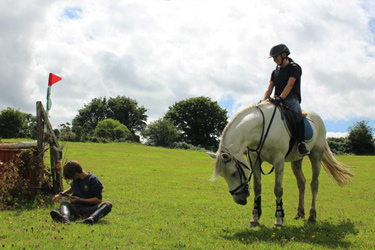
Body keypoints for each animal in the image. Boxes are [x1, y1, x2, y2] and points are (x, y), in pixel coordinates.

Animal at [209, 100, 352, 228]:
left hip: (316, 156)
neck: (261, 128)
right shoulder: (255, 160)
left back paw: (312, 215)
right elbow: (257, 188)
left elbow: (278, 190)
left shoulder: (279, 161)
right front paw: (255, 218)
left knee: (314, 184)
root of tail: (318, 118)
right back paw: (300, 213)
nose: (240, 200)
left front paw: (278, 219)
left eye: (233, 173)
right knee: (301, 183)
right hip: (296, 160)